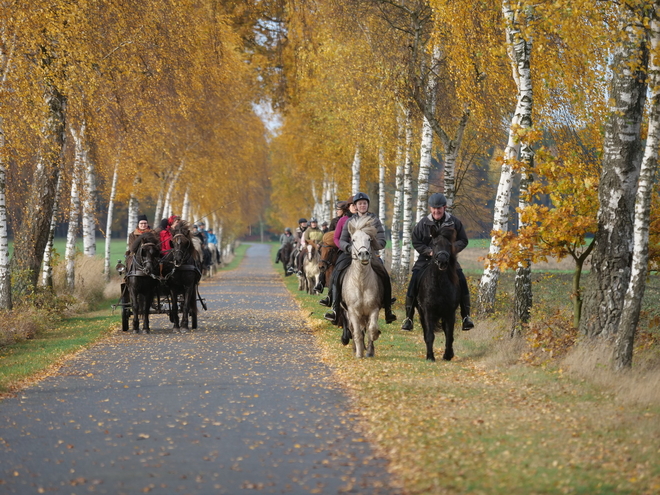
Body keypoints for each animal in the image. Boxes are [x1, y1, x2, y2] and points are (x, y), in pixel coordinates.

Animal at [340, 219, 382, 358]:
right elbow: (357, 333)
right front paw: (359, 353)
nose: (363, 254)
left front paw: (370, 349)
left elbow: (371, 329)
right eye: (353, 239)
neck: (361, 283)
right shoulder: (352, 311)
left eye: (369, 239)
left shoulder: (374, 309)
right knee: (354, 329)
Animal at [418, 225, 458, 360]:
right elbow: (430, 335)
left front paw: (448, 355)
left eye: (449, 244)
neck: (439, 284)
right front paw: (430, 356)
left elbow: (449, 335)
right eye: (434, 244)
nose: (442, 261)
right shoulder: (428, 311)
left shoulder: (450, 312)